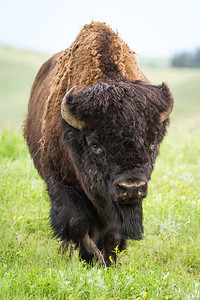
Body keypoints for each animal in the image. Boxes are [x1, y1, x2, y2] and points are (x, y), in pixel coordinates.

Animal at [23, 21, 173, 268]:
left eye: (152, 142)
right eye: (95, 145)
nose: (131, 187)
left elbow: (113, 232)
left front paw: (109, 260)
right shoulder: (60, 181)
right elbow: (76, 222)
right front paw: (93, 258)